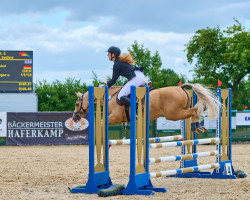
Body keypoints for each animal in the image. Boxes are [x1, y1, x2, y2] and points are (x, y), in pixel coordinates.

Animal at [72, 83, 219, 134]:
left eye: (76, 103)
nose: (74, 117)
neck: (111, 96)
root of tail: (181, 87)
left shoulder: (114, 117)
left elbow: (102, 123)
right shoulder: (120, 119)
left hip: (173, 114)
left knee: (194, 111)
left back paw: (196, 127)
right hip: (177, 112)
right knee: (195, 110)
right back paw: (199, 127)